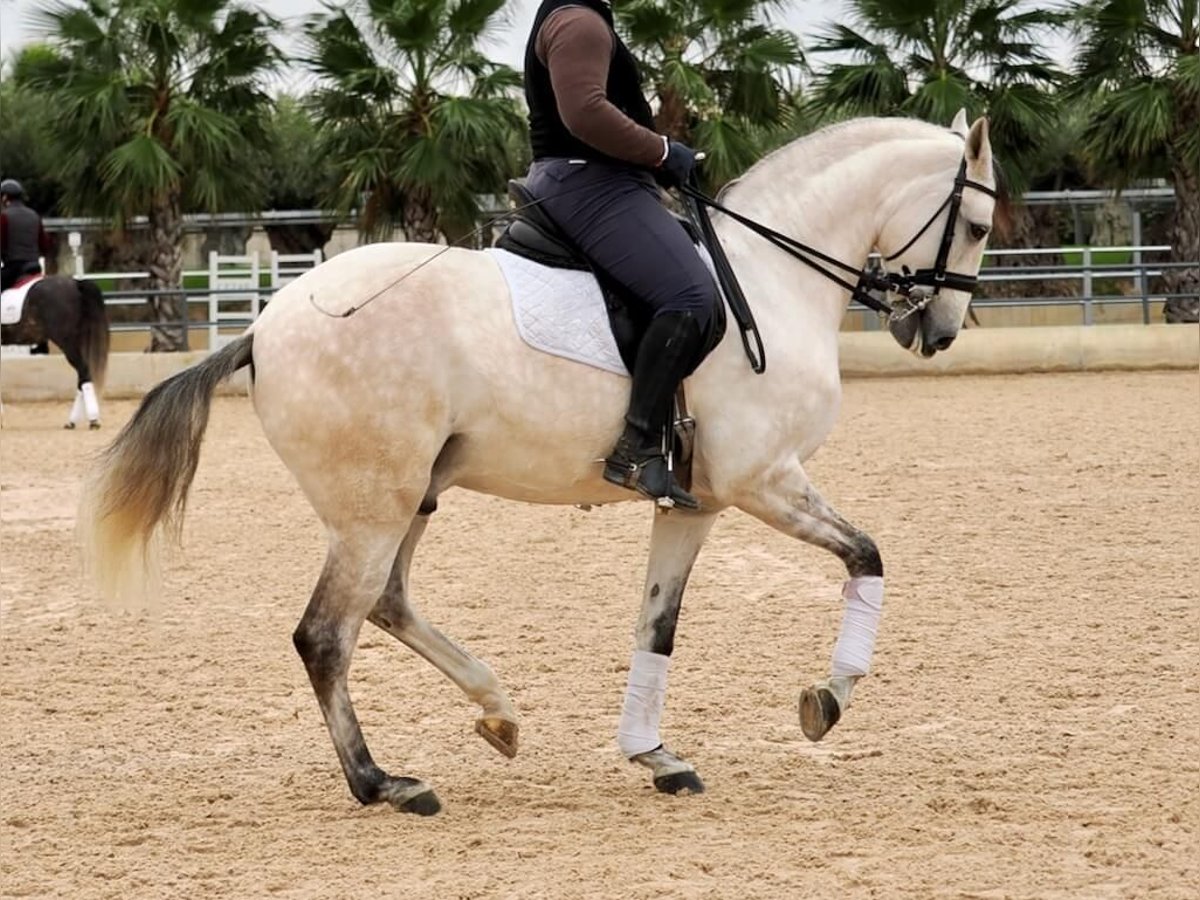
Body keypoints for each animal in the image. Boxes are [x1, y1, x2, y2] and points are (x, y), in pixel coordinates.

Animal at [1, 274, 111, 429]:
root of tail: (75, 283)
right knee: (81, 375)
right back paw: (72, 421)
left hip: (67, 342)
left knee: (84, 371)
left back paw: (93, 420)